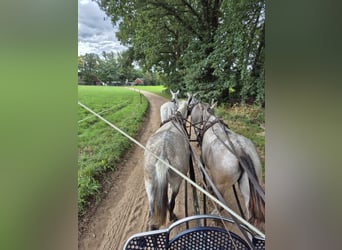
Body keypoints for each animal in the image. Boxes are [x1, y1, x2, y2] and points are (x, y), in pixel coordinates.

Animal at [143, 100, 188, 229]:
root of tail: (163, 153)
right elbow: (170, 202)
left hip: (149, 183)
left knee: (151, 213)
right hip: (176, 181)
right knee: (172, 202)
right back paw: (172, 217)